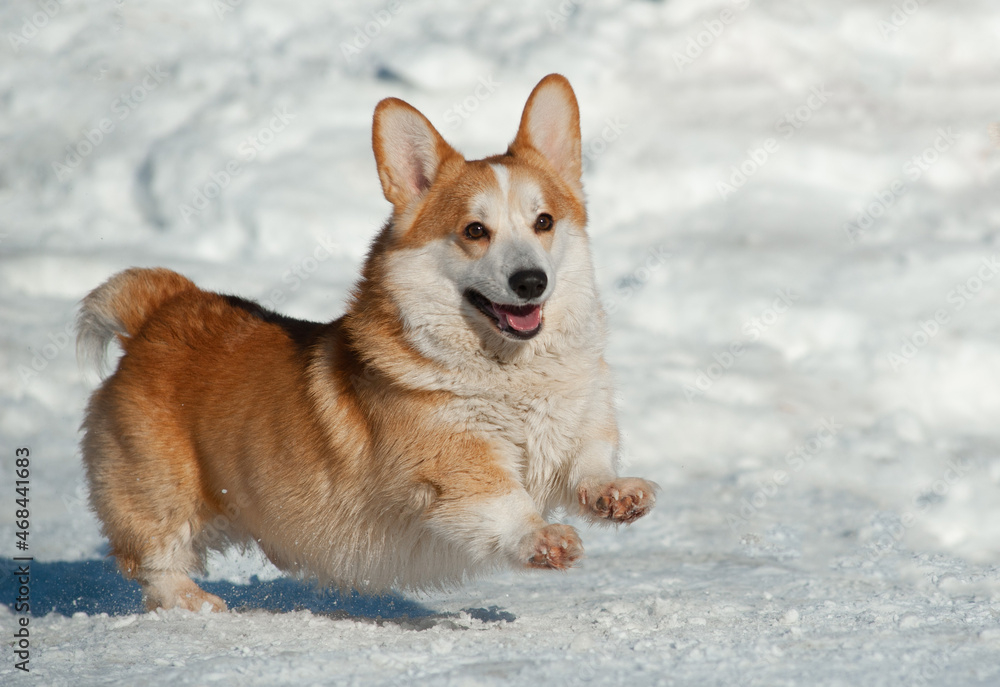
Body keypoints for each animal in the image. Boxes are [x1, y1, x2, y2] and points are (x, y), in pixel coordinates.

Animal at [78, 75, 656, 612]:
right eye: (474, 230)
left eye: (544, 221)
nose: (531, 282)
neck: (511, 371)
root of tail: (159, 312)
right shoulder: (451, 464)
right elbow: (502, 498)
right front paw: (543, 536)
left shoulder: (575, 429)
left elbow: (589, 464)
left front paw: (617, 493)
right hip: (160, 488)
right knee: (154, 557)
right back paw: (195, 603)